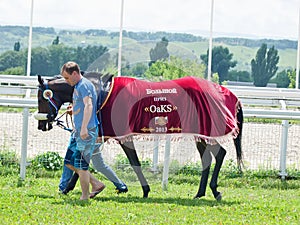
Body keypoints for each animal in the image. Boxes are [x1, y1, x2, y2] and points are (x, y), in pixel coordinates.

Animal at [34, 72, 244, 200]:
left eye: (41, 98)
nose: (42, 124)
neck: (100, 91)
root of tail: (227, 93)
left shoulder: (123, 135)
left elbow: (133, 161)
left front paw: (145, 190)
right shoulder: (103, 134)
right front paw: (69, 187)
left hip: (204, 132)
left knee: (217, 155)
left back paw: (211, 190)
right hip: (201, 134)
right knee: (212, 157)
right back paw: (204, 192)